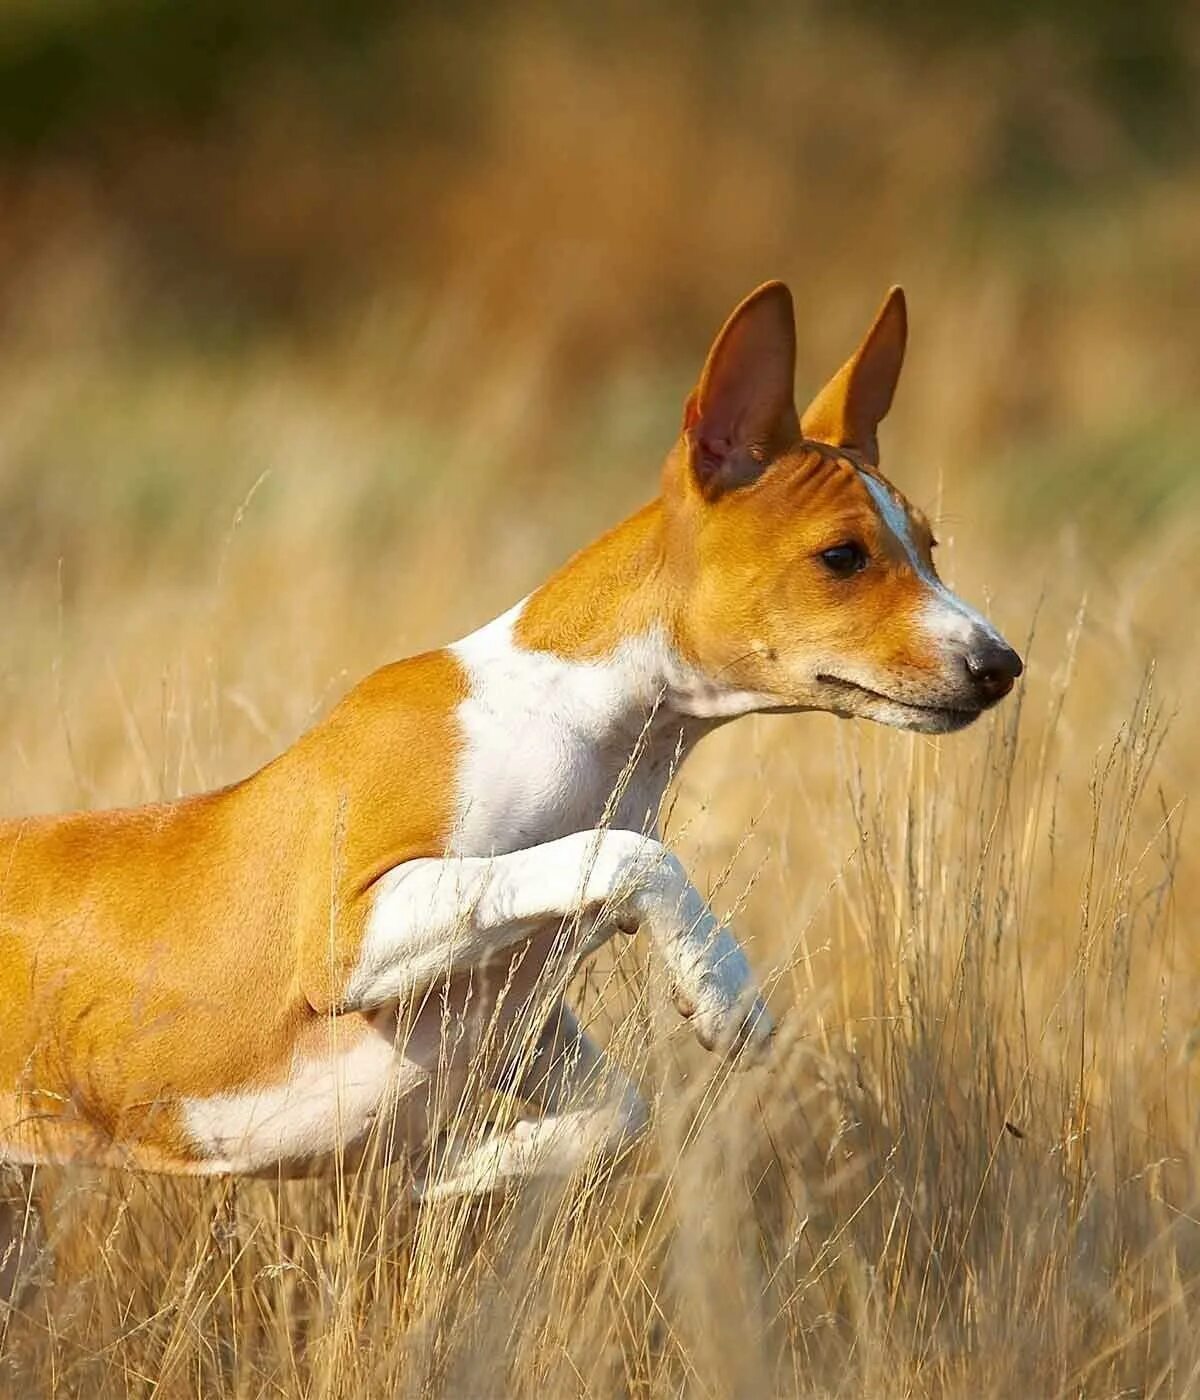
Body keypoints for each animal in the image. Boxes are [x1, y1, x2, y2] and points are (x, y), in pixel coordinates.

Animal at [0, 284, 1019, 1204]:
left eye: (931, 548)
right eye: (842, 557)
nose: (1001, 664)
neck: (579, 721)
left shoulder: (512, 1023)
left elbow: (614, 1115)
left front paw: (446, 1172)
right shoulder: (345, 933)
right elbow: (627, 852)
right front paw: (721, 985)